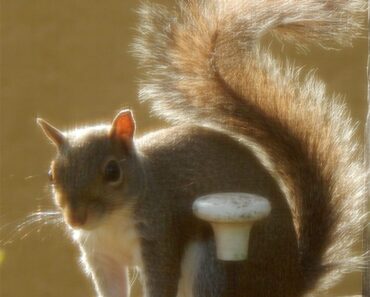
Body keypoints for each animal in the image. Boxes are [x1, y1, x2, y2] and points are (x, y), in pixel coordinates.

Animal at [36, 0, 366, 296]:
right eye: (51, 175)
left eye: (112, 172)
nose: (76, 219)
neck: (112, 222)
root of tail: (289, 282)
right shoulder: (100, 255)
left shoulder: (160, 235)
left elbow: (161, 281)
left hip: (213, 263)